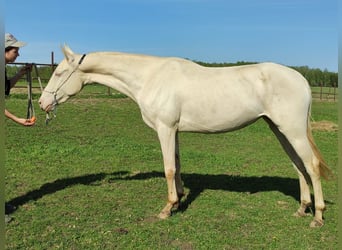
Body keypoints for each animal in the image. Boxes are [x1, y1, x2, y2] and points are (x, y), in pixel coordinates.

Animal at [39, 45, 332, 227]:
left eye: (59, 72)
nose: (43, 103)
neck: (150, 77)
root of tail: (301, 80)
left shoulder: (165, 128)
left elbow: (169, 168)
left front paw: (166, 209)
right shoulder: (174, 130)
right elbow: (177, 165)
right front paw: (179, 201)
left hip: (292, 130)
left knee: (311, 166)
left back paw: (317, 216)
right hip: (280, 129)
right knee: (298, 166)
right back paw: (302, 208)